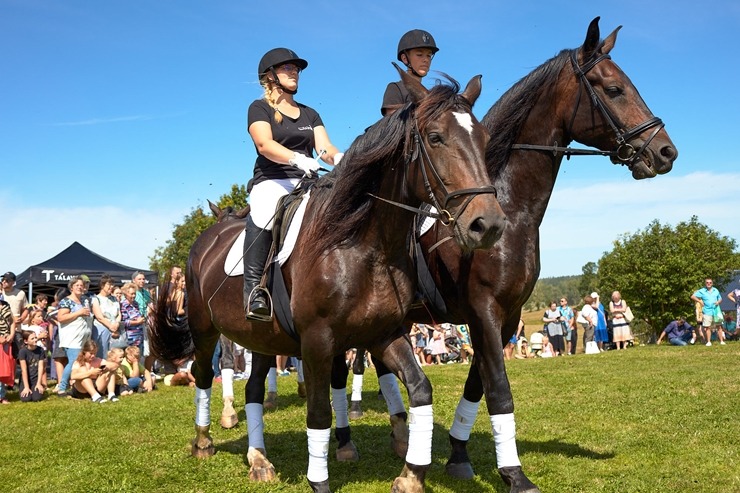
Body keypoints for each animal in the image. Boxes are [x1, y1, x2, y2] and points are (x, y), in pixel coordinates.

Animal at [150, 68, 508, 492]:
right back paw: (205, 441)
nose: (489, 225)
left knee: (252, 388)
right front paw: (320, 480)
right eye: (436, 138)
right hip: (206, 330)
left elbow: (420, 389)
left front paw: (411, 472)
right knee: (204, 375)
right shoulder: (318, 340)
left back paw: (259, 459)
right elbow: (319, 413)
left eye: (483, 139)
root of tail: (206, 238)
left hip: (261, 337)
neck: (362, 244)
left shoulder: (383, 333)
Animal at [408, 17, 680, 490]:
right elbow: (499, 390)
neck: (510, 207)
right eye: (614, 90)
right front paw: (514, 473)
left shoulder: (507, 315)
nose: (666, 152)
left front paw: (459, 455)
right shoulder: (483, 310)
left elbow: (478, 385)